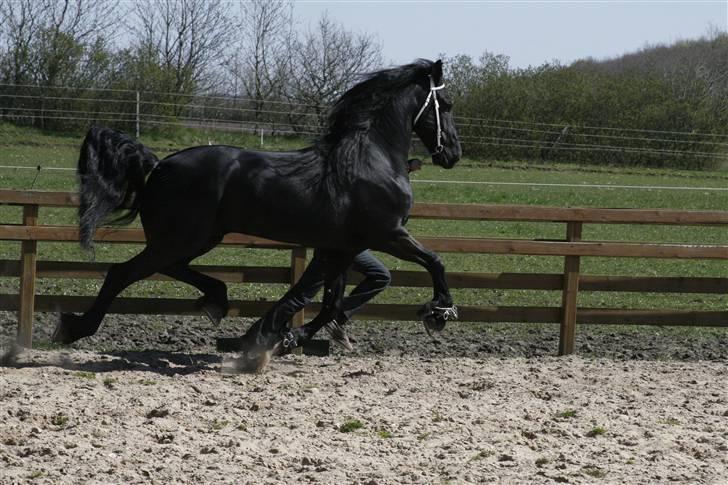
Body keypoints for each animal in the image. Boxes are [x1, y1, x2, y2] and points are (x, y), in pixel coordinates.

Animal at [54, 59, 460, 370]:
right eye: (447, 104)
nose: (453, 154)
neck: (370, 160)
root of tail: (159, 165)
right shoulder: (388, 234)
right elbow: (435, 261)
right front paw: (439, 312)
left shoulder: (341, 248)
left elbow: (328, 302)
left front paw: (283, 337)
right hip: (183, 237)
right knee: (122, 273)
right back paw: (73, 329)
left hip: (198, 238)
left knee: (169, 268)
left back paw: (217, 300)